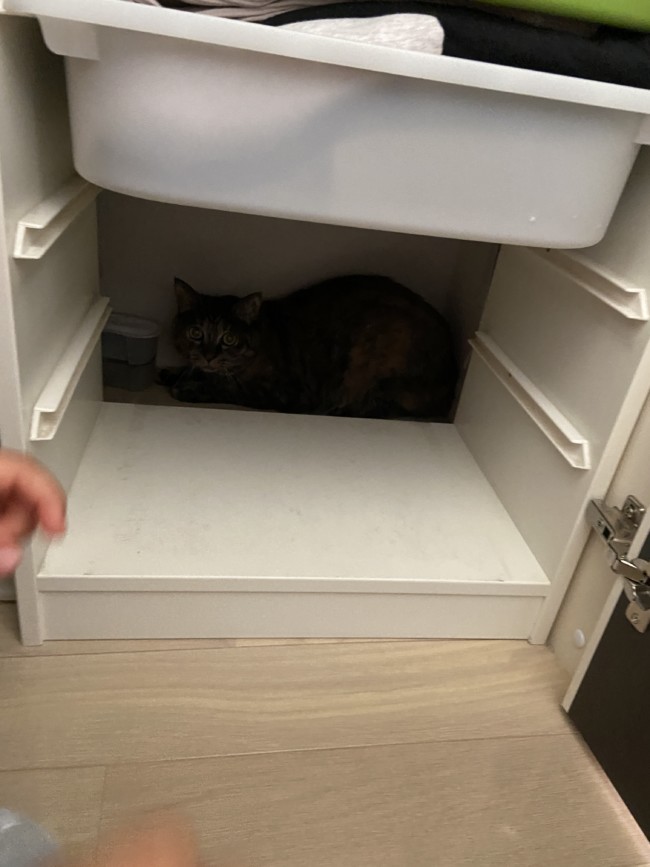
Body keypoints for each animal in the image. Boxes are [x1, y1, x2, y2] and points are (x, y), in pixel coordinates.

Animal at [160, 275, 457, 420]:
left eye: (229, 338)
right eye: (195, 332)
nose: (209, 356)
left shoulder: (284, 391)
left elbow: (229, 387)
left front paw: (187, 387)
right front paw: (170, 373)